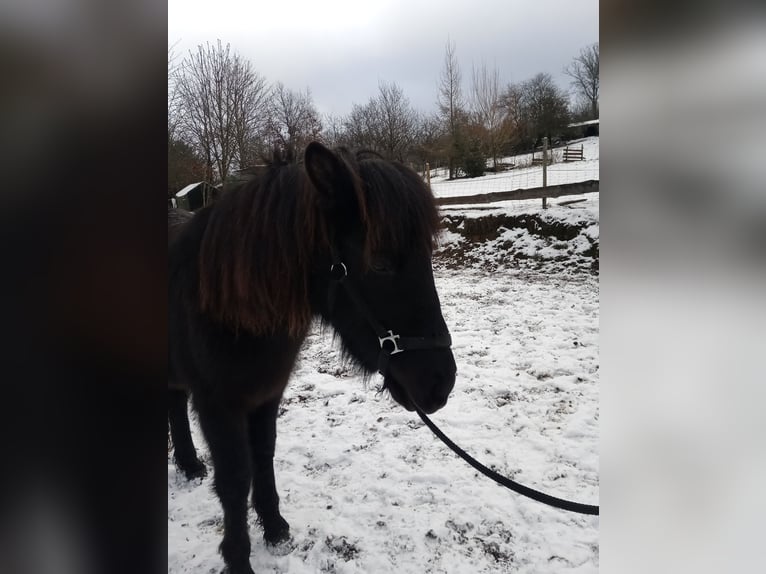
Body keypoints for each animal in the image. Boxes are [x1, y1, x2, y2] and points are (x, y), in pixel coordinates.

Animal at [168, 143, 456, 574]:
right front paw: (238, 558)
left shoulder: (267, 394)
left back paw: (188, 465)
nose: (441, 382)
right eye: (380, 262)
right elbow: (235, 479)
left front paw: (274, 527)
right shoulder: (218, 405)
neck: (226, 304)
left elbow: (263, 454)